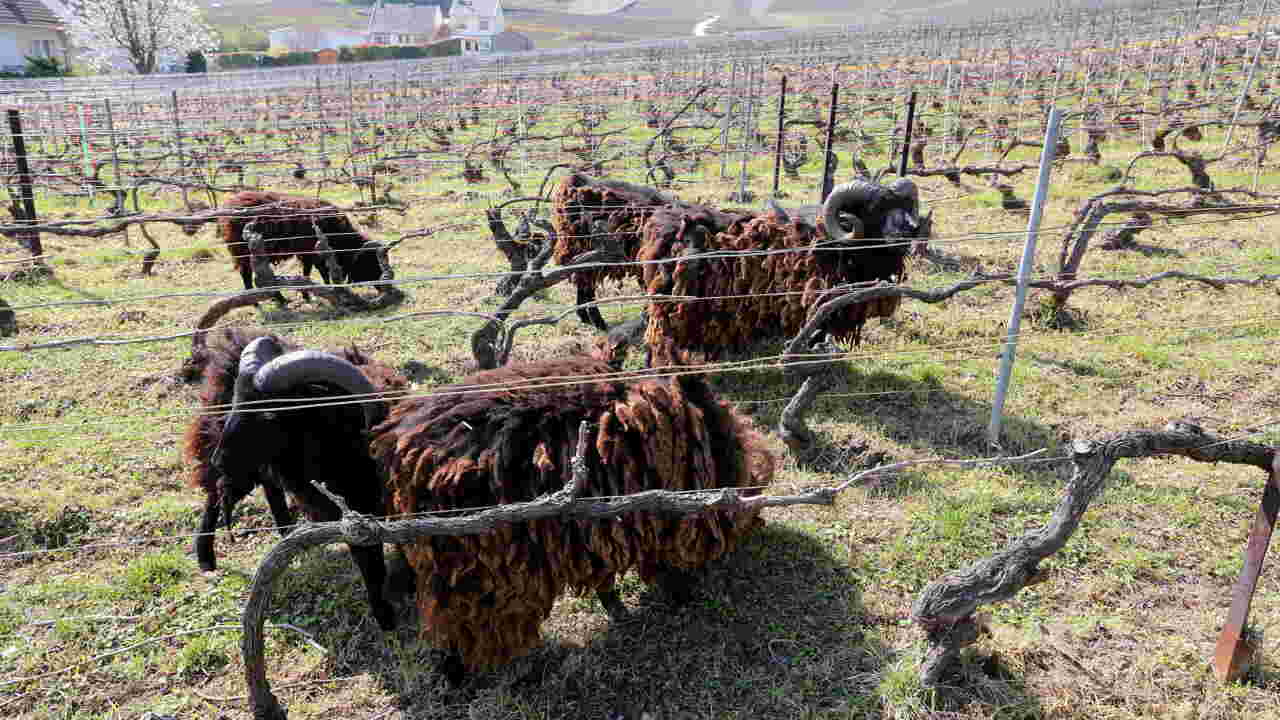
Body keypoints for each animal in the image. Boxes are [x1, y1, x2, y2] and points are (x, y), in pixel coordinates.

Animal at [183, 327, 408, 630]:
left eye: (269, 414)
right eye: (236, 401)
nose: (221, 459)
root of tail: (235, 339)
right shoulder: (353, 515)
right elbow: (370, 566)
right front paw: (385, 619)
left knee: (267, 489)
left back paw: (285, 532)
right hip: (222, 453)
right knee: (213, 497)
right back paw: (206, 559)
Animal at [218, 191, 385, 291]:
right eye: (369, 261)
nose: (382, 283)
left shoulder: (311, 253)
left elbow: (313, 272)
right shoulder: (312, 253)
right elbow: (317, 272)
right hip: (244, 253)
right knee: (248, 277)